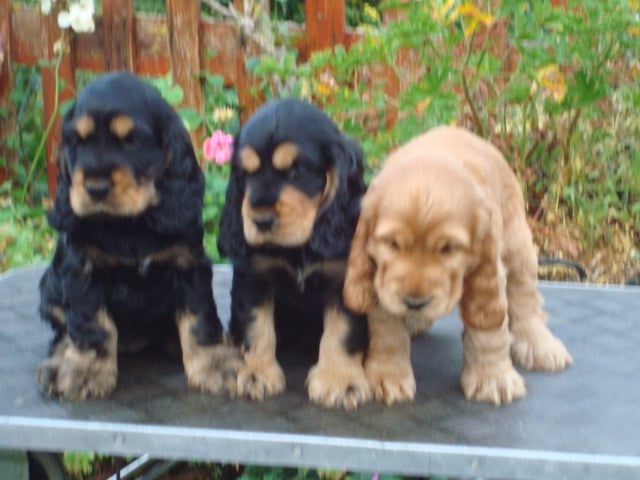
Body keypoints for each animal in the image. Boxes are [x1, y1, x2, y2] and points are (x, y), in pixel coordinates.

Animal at [38, 71, 242, 400]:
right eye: (78, 142)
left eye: (130, 141)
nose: (95, 188)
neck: (129, 225)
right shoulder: (81, 270)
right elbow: (92, 325)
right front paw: (86, 371)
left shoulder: (188, 266)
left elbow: (199, 320)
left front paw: (215, 364)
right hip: (50, 286)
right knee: (63, 333)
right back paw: (58, 365)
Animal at [219, 97, 370, 408]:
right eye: (246, 174)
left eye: (295, 171)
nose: (261, 221)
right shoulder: (254, 276)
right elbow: (256, 324)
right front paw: (256, 372)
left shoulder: (346, 281)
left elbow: (343, 330)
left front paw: (341, 380)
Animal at [342, 124, 572, 404]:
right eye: (392, 243)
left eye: (448, 248)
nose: (414, 303)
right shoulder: (382, 281)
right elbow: (387, 329)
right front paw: (388, 377)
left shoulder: (490, 272)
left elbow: (489, 328)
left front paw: (492, 378)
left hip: (518, 245)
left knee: (525, 299)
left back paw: (540, 346)